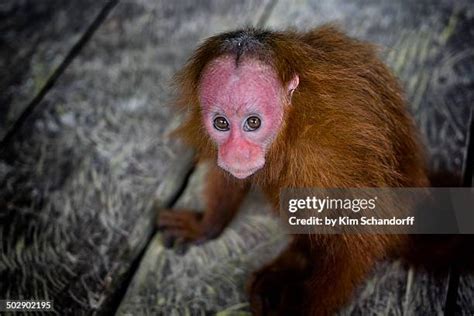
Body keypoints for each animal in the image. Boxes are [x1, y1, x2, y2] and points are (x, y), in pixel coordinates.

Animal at [157, 25, 428, 314]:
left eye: (253, 122)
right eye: (221, 123)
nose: (236, 153)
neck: (289, 125)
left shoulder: (329, 156)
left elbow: (361, 233)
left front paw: (301, 307)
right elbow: (228, 174)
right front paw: (206, 225)